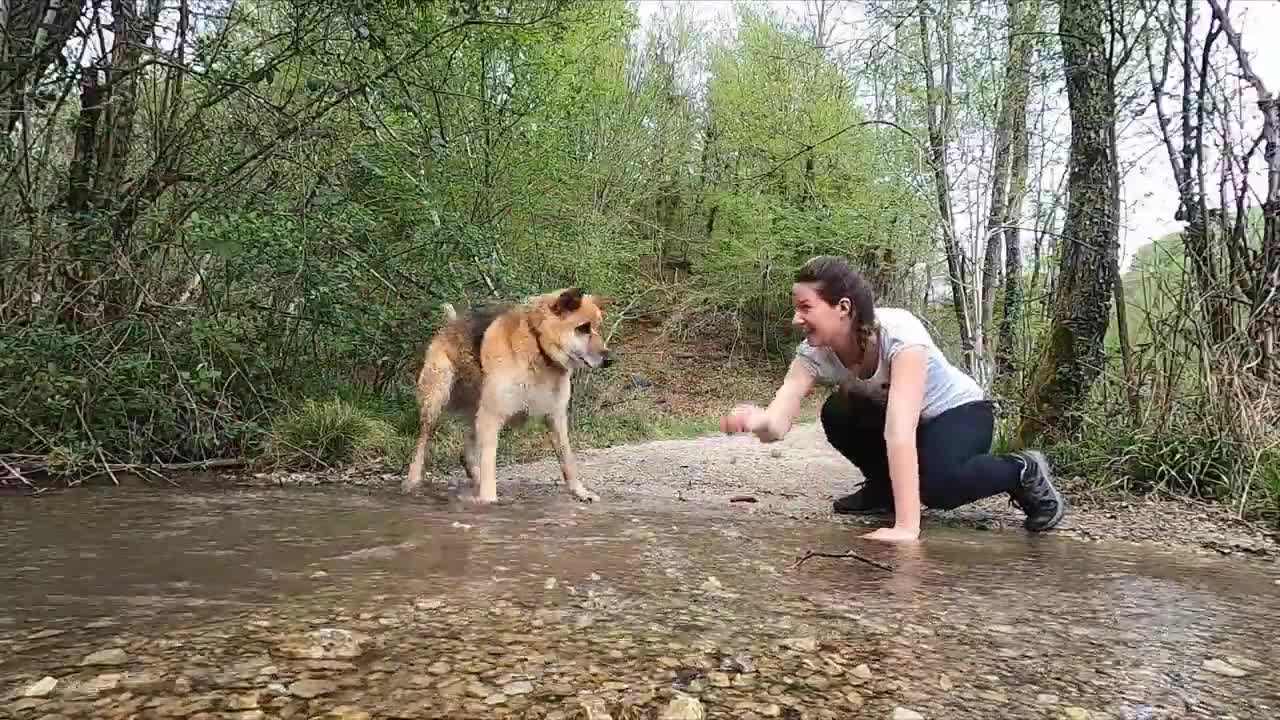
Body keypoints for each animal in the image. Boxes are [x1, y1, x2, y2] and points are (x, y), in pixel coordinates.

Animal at [401, 286, 616, 504]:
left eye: (597, 327)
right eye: (583, 328)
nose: (610, 360)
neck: (538, 346)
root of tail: (451, 324)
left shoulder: (555, 417)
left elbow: (568, 460)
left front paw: (580, 492)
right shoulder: (492, 417)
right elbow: (489, 464)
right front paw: (488, 499)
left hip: (475, 411)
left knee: (467, 454)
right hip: (436, 402)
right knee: (422, 443)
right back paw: (412, 481)